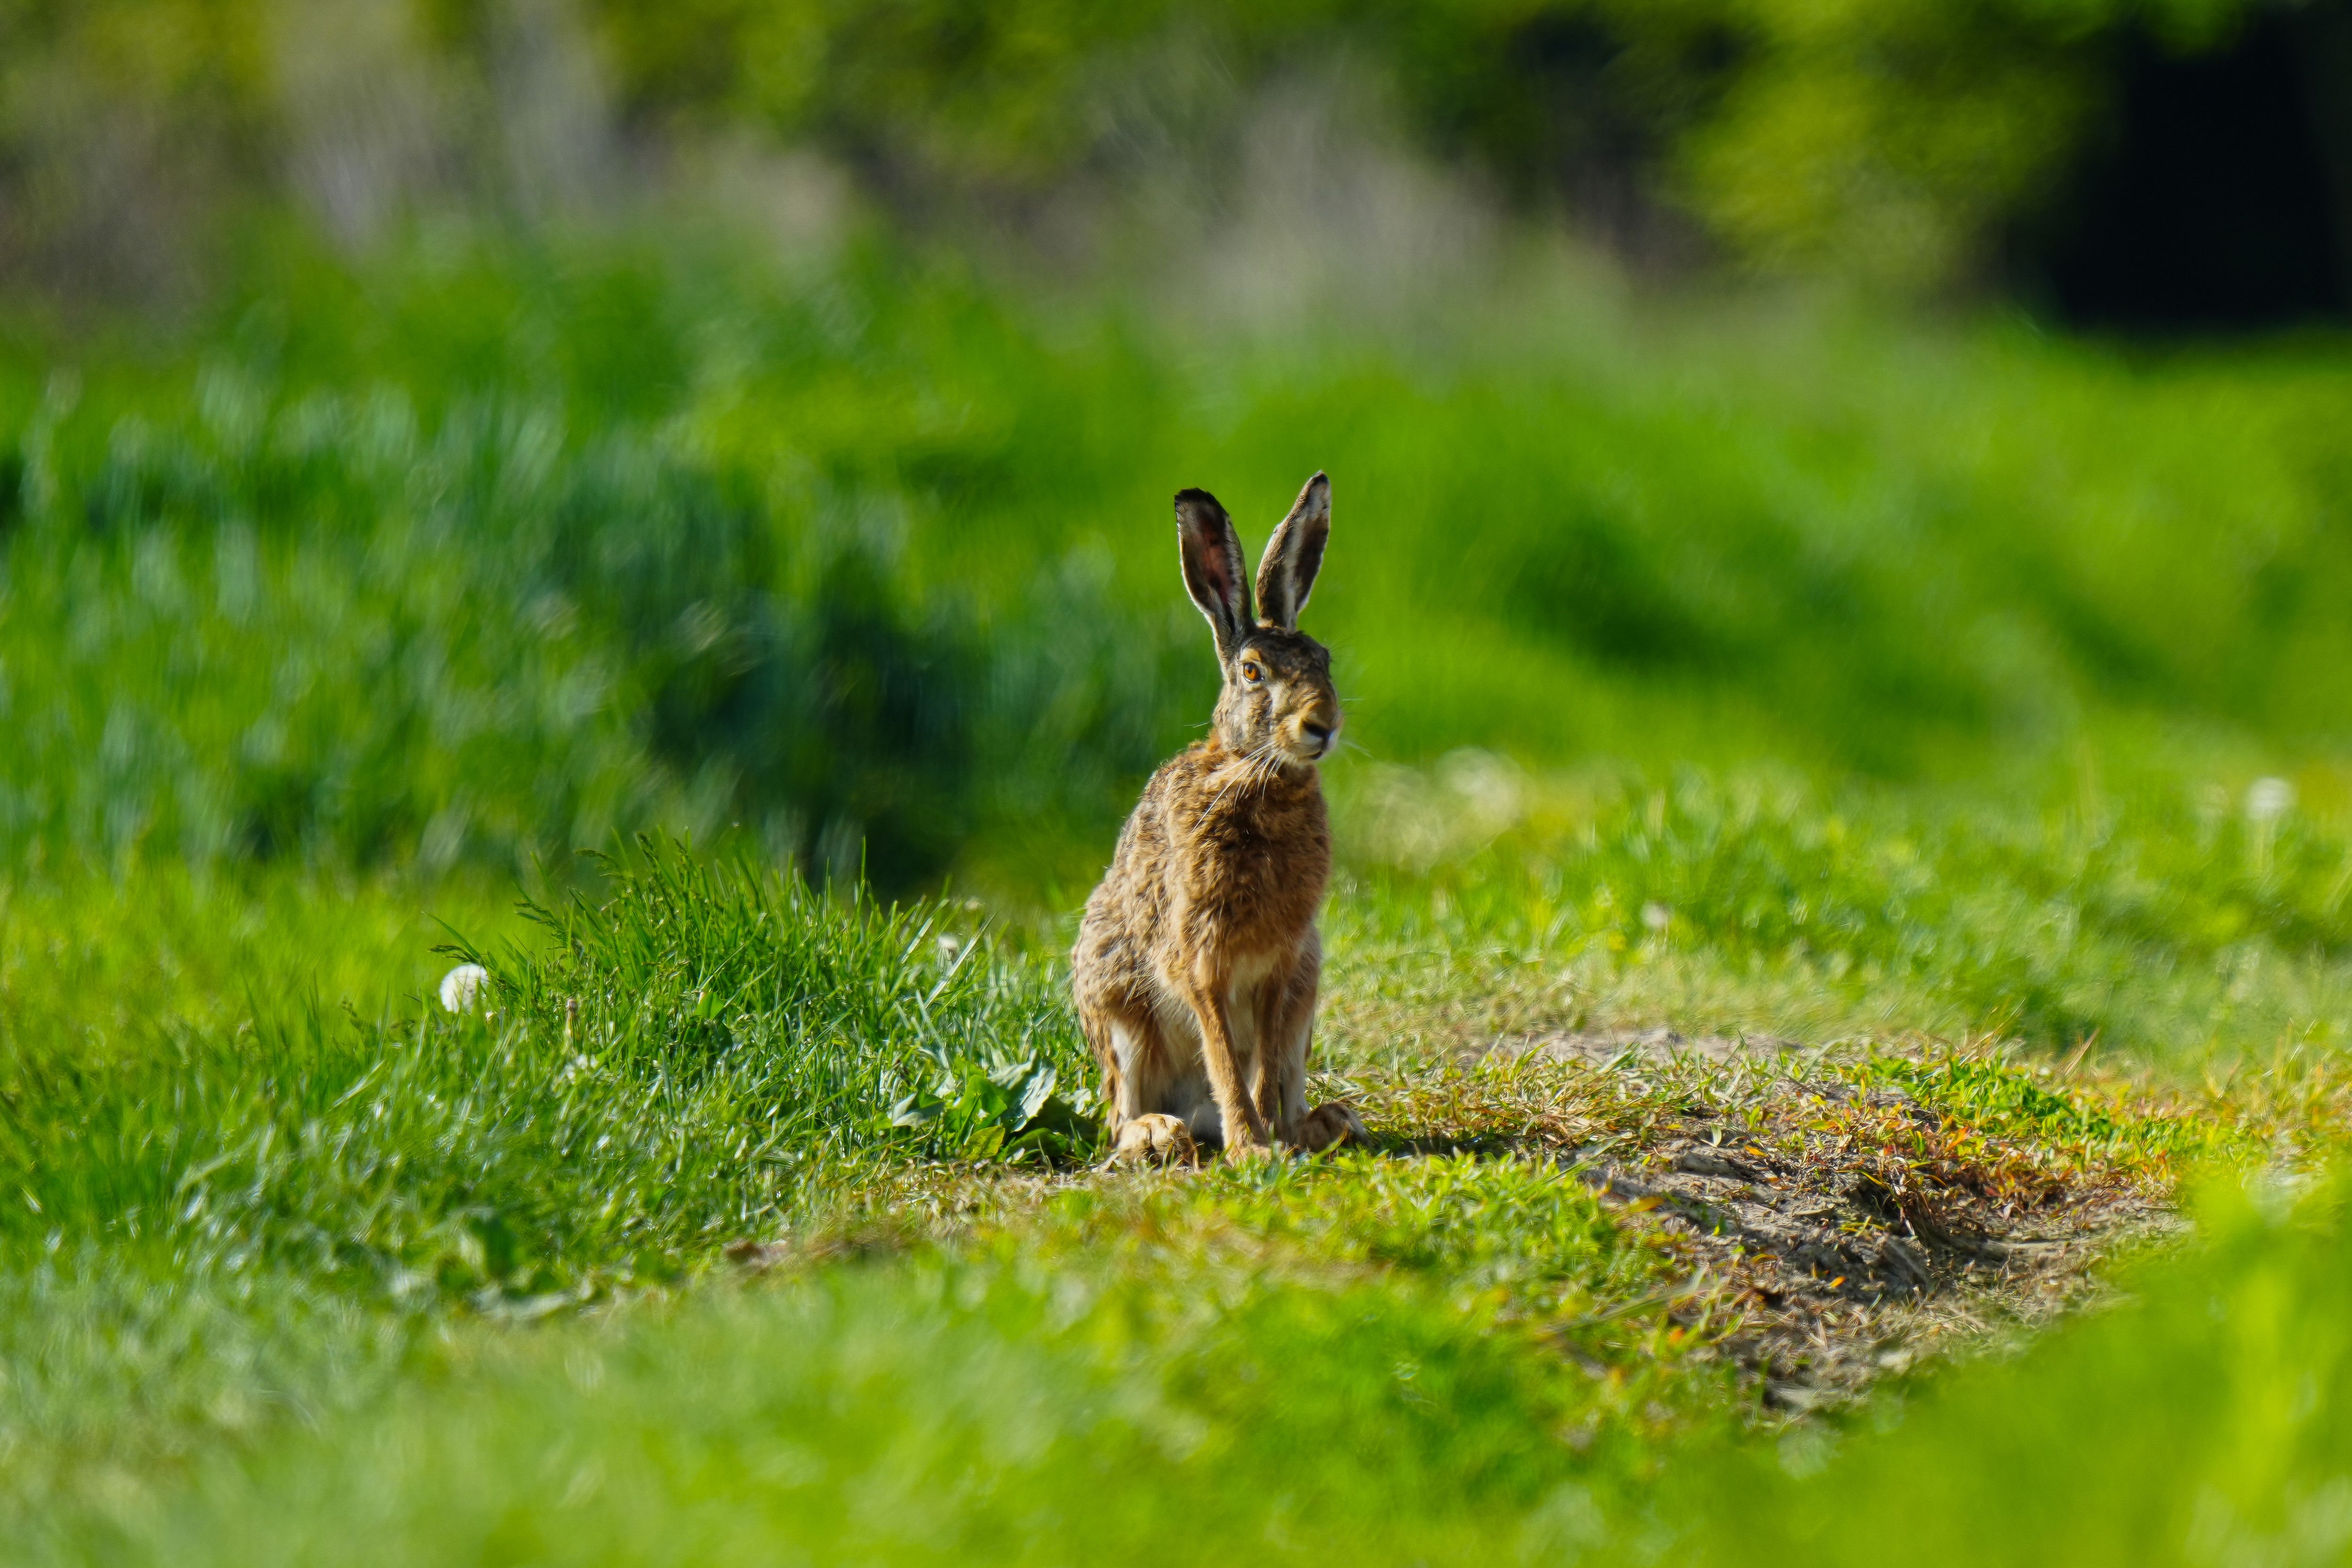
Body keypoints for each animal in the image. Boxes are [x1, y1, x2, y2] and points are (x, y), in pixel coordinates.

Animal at [1073, 472, 1368, 1163]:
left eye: (1324, 660)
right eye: (1253, 672)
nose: (1322, 724)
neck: (1254, 772)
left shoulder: (1284, 961)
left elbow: (1262, 1056)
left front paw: (1270, 1139)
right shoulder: (1198, 952)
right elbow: (1223, 1052)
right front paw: (1250, 1147)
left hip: (1310, 984)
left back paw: (1323, 1123)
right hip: (1115, 1002)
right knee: (1119, 1114)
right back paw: (1161, 1133)